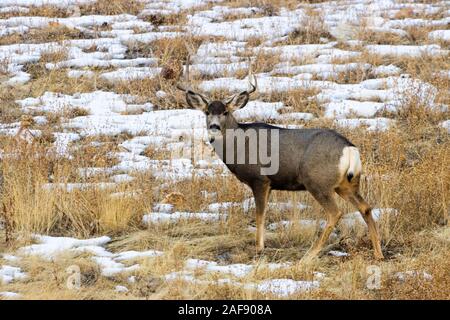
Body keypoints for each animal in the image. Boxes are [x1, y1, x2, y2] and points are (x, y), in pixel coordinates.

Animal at [176, 56, 384, 262]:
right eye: (207, 112)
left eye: (225, 112)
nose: (214, 127)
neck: (240, 144)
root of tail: (349, 149)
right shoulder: (270, 184)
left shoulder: (260, 179)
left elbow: (260, 215)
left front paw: (259, 248)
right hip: (347, 183)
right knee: (366, 207)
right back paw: (378, 254)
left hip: (317, 181)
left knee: (335, 212)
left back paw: (309, 255)